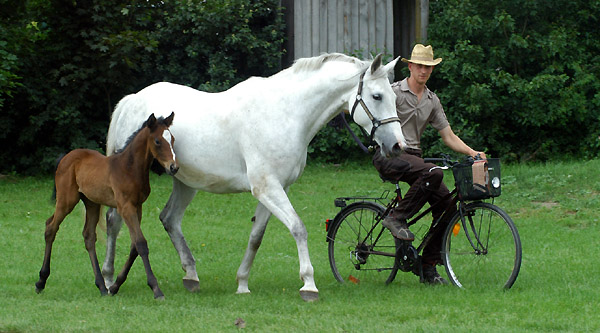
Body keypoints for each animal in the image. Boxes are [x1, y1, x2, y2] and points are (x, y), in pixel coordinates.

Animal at [35, 112, 177, 298]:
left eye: (172, 139)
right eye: (158, 141)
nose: (174, 167)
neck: (129, 169)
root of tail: (65, 157)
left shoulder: (137, 206)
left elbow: (134, 246)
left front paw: (115, 286)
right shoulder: (125, 207)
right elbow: (141, 243)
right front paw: (156, 289)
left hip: (92, 203)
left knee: (88, 236)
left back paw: (102, 286)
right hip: (66, 200)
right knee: (51, 227)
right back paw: (41, 281)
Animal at [103, 52, 406, 300]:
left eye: (394, 97)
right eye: (377, 97)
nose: (397, 146)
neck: (285, 113)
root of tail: (132, 100)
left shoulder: (276, 189)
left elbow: (256, 237)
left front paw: (242, 284)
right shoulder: (267, 188)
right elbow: (298, 228)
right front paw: (308, 285)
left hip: (185, 181)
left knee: (169, 219)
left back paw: (191, 277)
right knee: (114, 221)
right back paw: (107, 280)